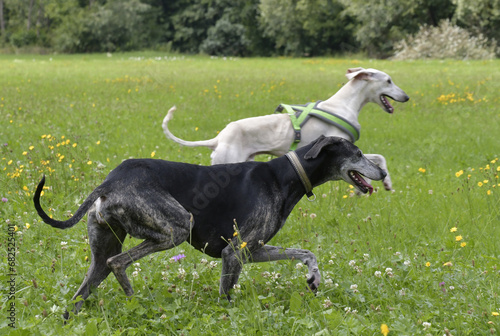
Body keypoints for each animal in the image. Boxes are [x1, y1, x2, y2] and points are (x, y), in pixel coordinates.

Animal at [162, 67, 408, 190]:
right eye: (388, 81)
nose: (406, 97)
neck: (342, 105)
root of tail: (218, 138)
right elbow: (374, 159)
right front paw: (385, 181)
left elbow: (375, 161)